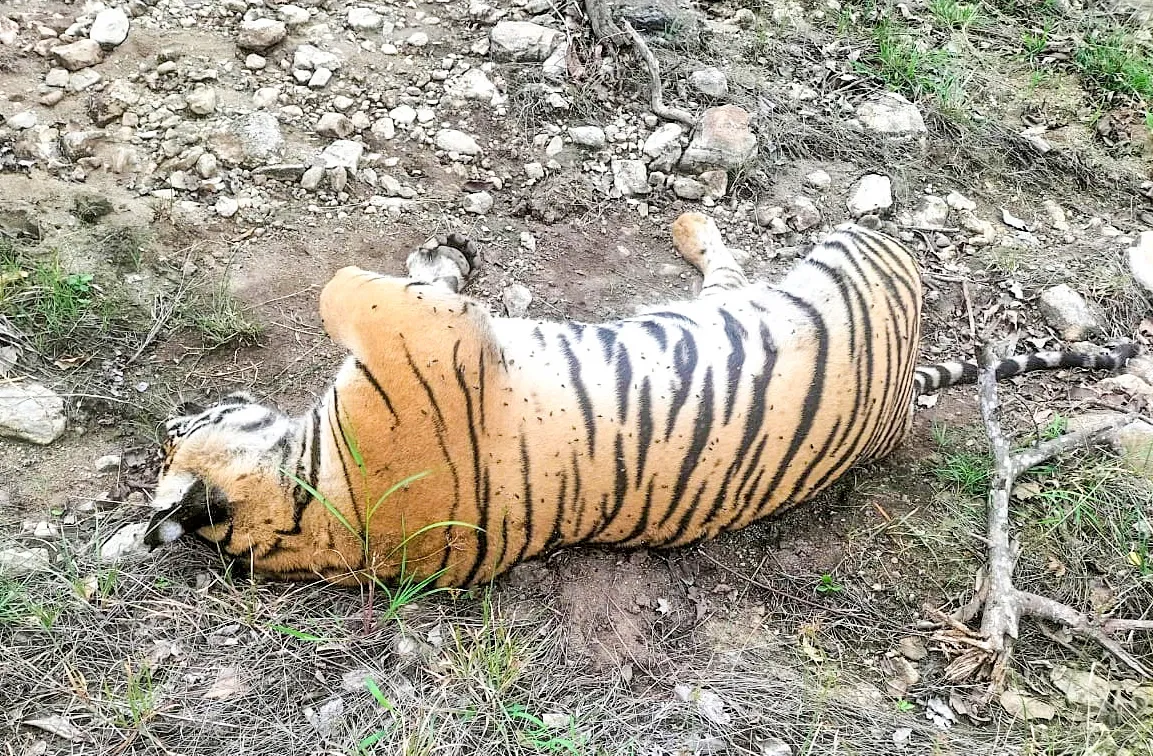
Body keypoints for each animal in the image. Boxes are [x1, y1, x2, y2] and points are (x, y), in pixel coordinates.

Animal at [142, 212, 1137, 587]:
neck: (307, 515)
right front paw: (440, 265)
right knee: (759, 259)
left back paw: (685, 223)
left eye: (178, 428)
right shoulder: (420, 337)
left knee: (726, 266)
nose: (181, 408)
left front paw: (445, 258)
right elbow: (345, 286)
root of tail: (893, 411)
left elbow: (362, 286)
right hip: (854, 256)